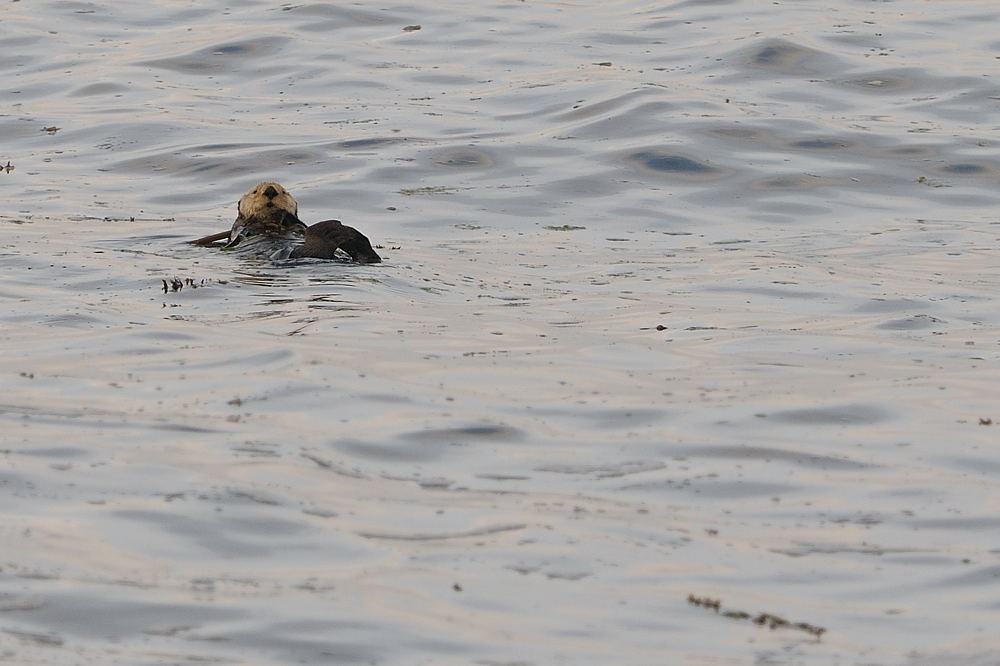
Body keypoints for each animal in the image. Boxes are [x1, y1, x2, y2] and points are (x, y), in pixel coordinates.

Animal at [190, 182, 381, 263]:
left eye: (283, 191)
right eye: (254, 191)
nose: (270, 190)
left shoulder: (298, 225)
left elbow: (300, 225)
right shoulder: (239, 227)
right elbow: (240, 230)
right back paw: (330, 231)